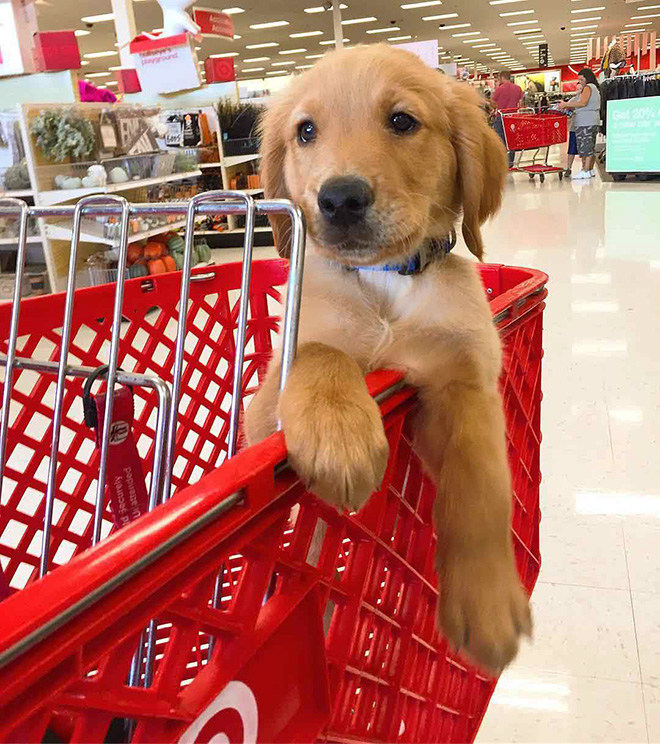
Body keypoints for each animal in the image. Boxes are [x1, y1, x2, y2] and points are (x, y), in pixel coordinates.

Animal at [245, 45, 532, 676]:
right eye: (306, 131)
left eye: (402, 121)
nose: (339, 198)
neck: (384, 281)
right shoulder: (266, 401)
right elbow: (322, 352)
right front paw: (339, 438)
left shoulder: (464, 379)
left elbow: (480, 485)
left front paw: (488, 602)